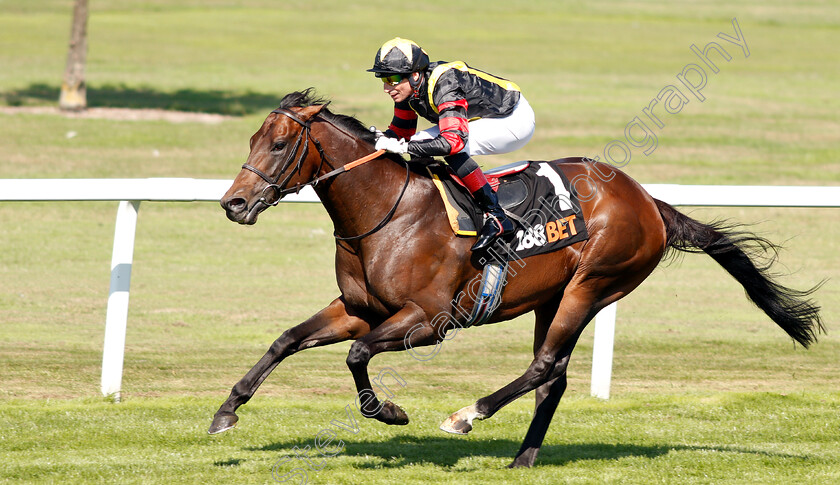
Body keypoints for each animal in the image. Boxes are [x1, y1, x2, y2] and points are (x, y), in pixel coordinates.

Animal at [208, 89, 820, 466]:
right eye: (251, 141)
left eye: (279, 144)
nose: (233, 204)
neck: (386, 211)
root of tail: (648, 201)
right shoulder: (360, 308)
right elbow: (286, 340)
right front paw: (225, 412)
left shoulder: (426, 320)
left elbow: (357, 356)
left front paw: (390, 412)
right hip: (555, 297)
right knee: (554, 376)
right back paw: (523, 456)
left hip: (593, 285)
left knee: (544, 366)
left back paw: (467, 416)